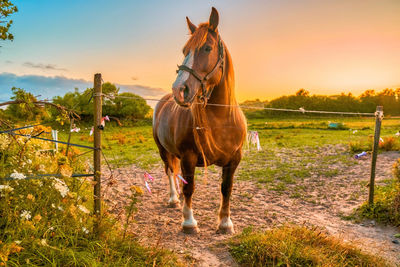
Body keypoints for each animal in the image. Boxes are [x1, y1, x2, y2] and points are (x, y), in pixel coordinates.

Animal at [153, 6, 247, 234]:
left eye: (207, 48)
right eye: (184, 51)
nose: (179, 90)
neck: (221, 120)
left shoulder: (234, 160)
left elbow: (226, 188)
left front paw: (225, 223)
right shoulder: (188, 157)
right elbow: (190, 188)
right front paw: (188, 222)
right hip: (163, 150)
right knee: (170, 171)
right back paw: (173, 199)